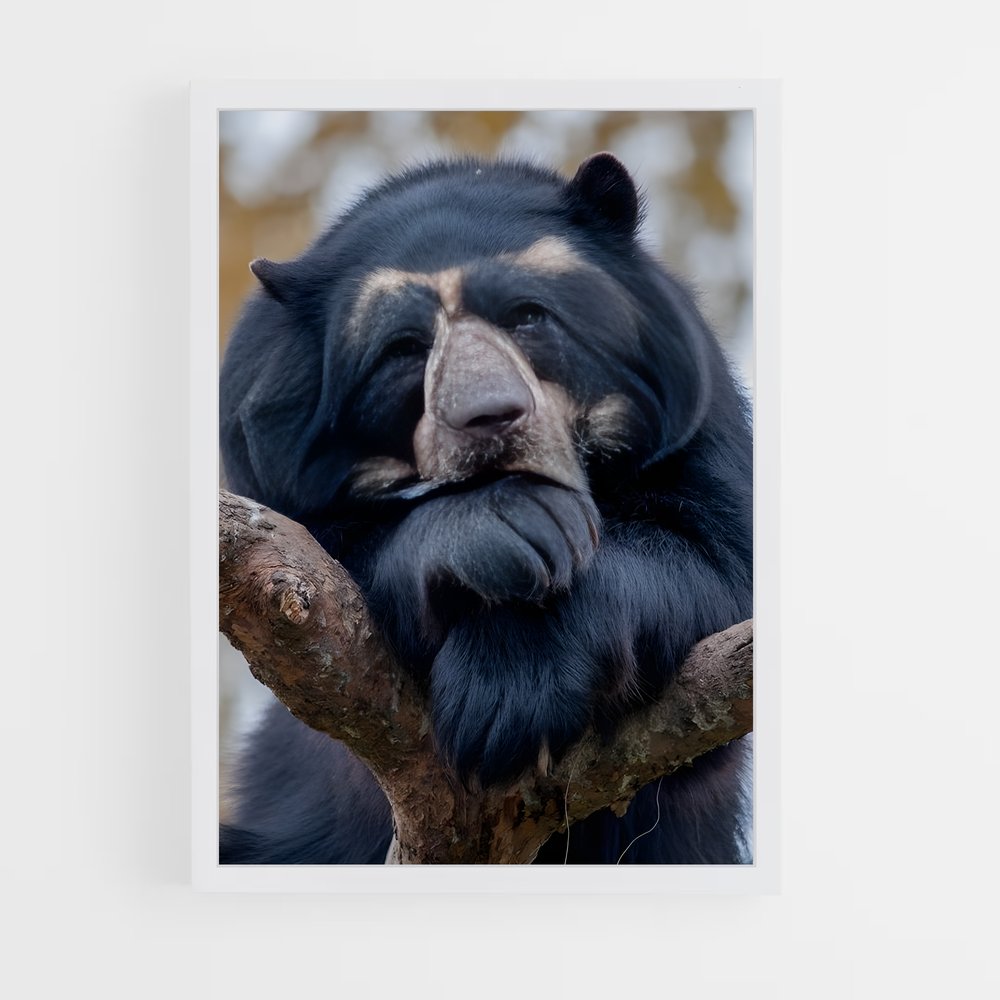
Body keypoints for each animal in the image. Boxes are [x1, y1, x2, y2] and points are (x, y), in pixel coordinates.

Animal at [219, 153, 753, 864]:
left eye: (528, 315)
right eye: (405, 348)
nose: (490, 417)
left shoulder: (697, 428)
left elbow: (714, 565)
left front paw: (502, 703)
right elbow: (327, 570)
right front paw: (512, 524)